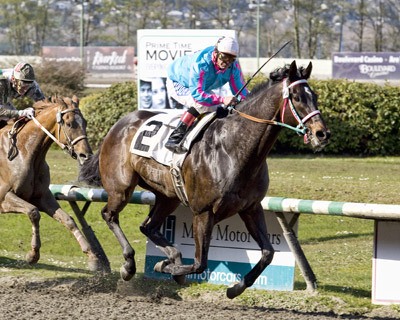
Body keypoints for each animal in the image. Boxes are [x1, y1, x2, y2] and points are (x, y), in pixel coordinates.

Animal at [0, 97, 101, 270]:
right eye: (69, 123)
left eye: (85, 122)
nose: (86, 155)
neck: (25, 152)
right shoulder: (4, 198)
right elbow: (33, 212)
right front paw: (33, 255)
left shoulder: (42, 197)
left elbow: (68, 220)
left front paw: (93, 257)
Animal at [79, 60, 332, 298]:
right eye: (297, 97)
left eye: (315, 96)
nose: (322, 133)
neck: (234, 149)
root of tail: (119, 123)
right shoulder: (203, 212)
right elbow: (200, 263)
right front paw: (167, 268)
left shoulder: (251, 208)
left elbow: (268, 253)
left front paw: (235, 288)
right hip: (121, 188)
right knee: (109, 215)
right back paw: (130, 265)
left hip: (168, 196)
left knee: (147, 226)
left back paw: (173, 256)